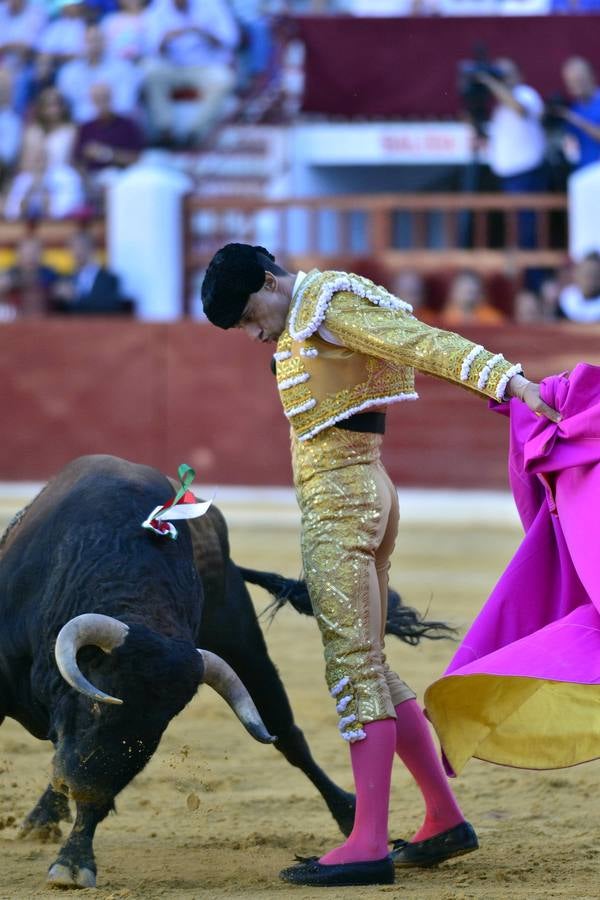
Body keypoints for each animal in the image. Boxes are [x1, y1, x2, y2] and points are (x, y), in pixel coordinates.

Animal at [0, 454, 450, 888]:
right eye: (94, 703)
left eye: (158, 728)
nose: (81, 786)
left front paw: (74, 862)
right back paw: (43, 816)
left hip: (245, 644)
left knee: (288, 736)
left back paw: (349, 813)